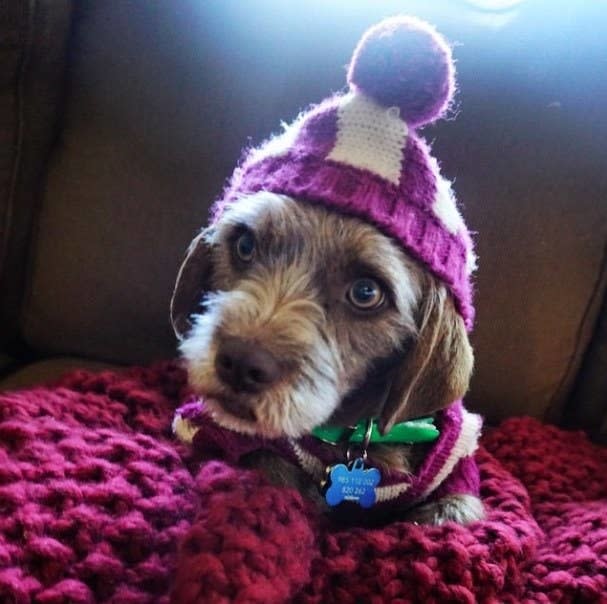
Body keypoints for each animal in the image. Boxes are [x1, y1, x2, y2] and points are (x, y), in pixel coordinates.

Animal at [171, 16, 484, 528]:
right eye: (244, 245)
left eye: (366, 292)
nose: (239, 363)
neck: (351, 441)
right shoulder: (223, 434)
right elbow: (267, 462)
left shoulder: (458, 462)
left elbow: (457, 507)